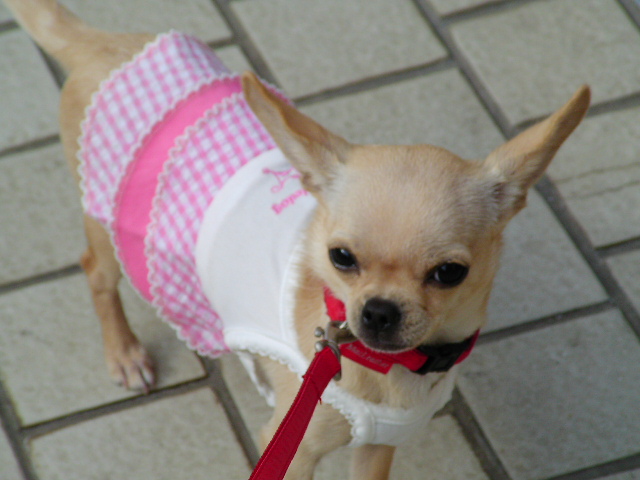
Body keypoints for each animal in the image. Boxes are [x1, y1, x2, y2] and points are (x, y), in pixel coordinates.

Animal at [5, 0, 591, 478]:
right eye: (341, 258)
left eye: (449, 273)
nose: (378, 312)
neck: (392, 368)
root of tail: (102, 45)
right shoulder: (290, 448)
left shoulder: (376, 448)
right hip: (106, 225)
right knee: (96, 272)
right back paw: (125, 352)